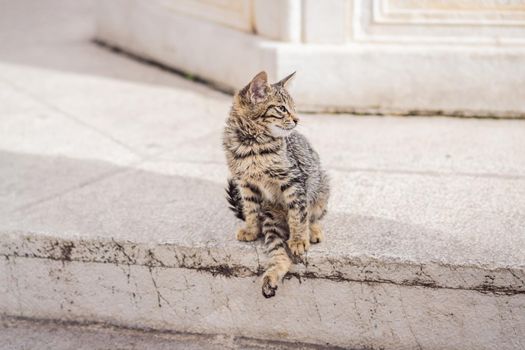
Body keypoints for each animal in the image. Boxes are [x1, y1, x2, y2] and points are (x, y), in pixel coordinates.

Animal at [223, 71, 330, 298]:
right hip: (270, 217)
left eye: (294, 107)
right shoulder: (245, 183)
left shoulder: (293, 179)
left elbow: (299, 213)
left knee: (313, 214)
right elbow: (250, 209)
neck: (252, 146)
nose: (297, 120)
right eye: (281, 108)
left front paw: (299, 239)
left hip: (322, 186)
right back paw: (271, 278)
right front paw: (251, 229)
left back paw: (312, 231)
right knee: (280, 253)